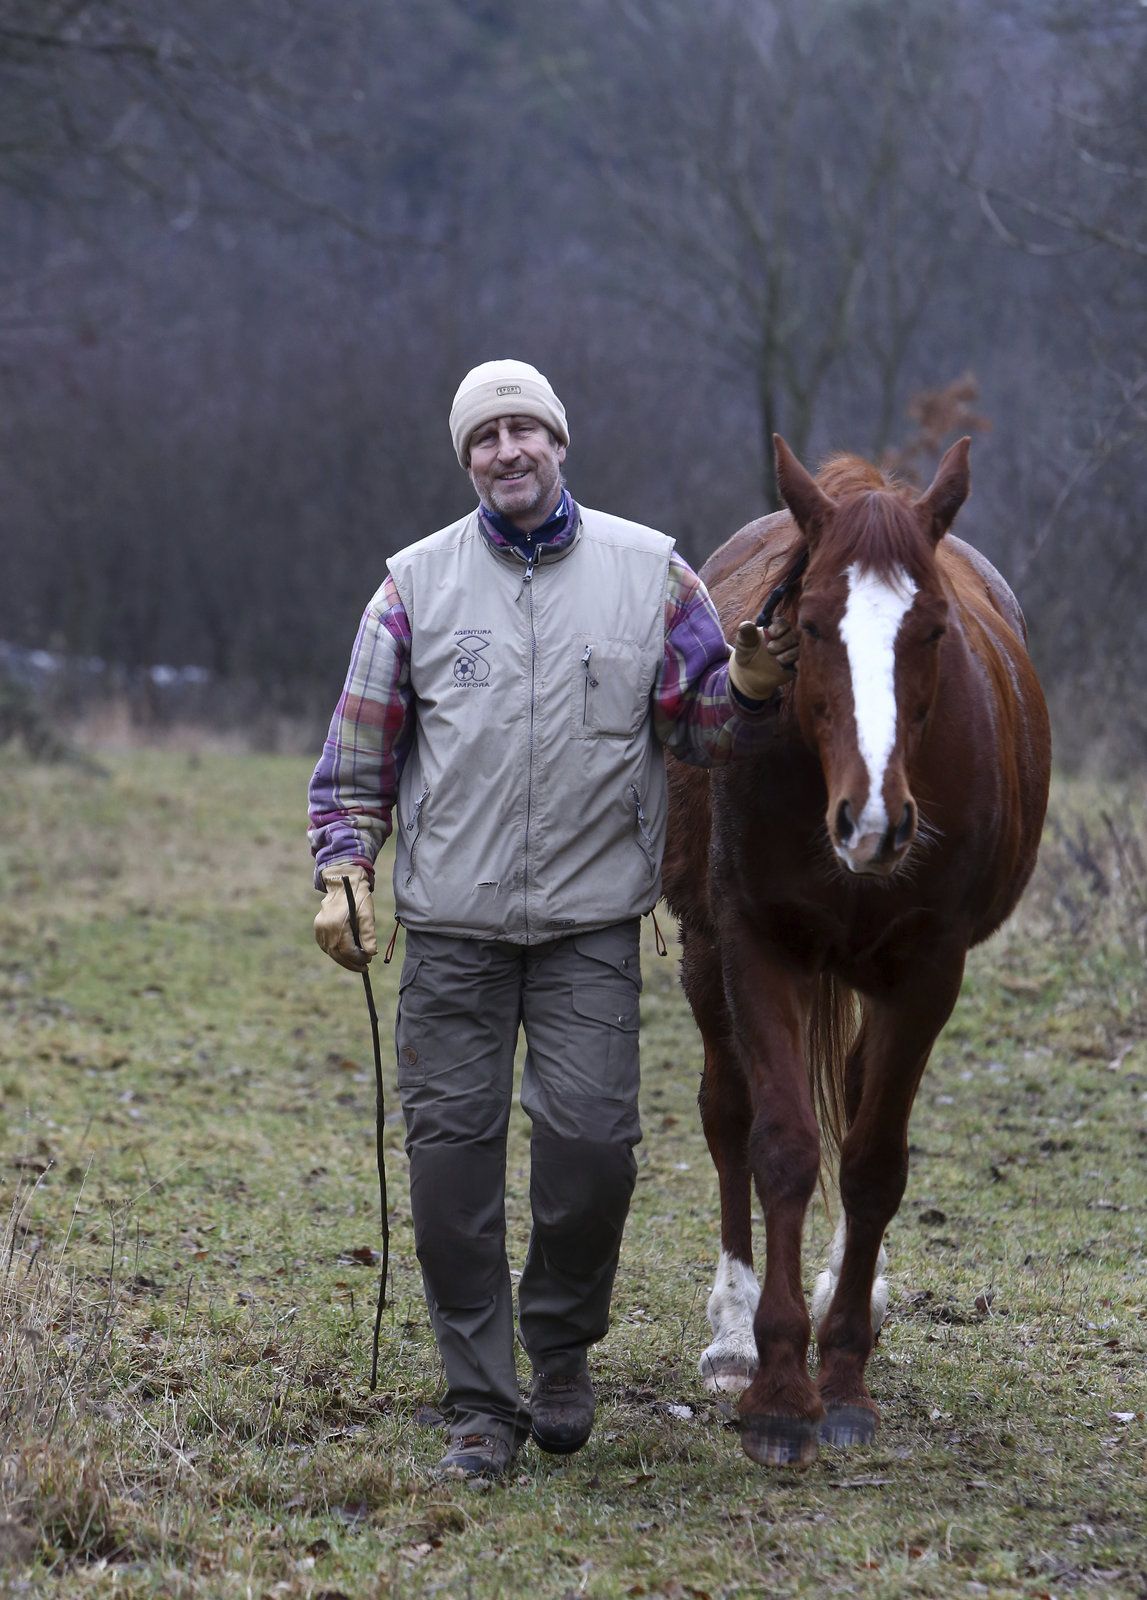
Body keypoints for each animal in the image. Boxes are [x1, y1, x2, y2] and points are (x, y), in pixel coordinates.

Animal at [662, 432, 1049, 1465]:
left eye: (934, 630)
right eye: (810, 624)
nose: (872, 821)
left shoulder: (928, 971)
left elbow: (873, 1163)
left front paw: (839, 1378)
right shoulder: (754, 947)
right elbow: (781, 1147)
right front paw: (776, 1388)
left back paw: (851, 1291)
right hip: (703, 957)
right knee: (725, 1114)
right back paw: (730, 1332)